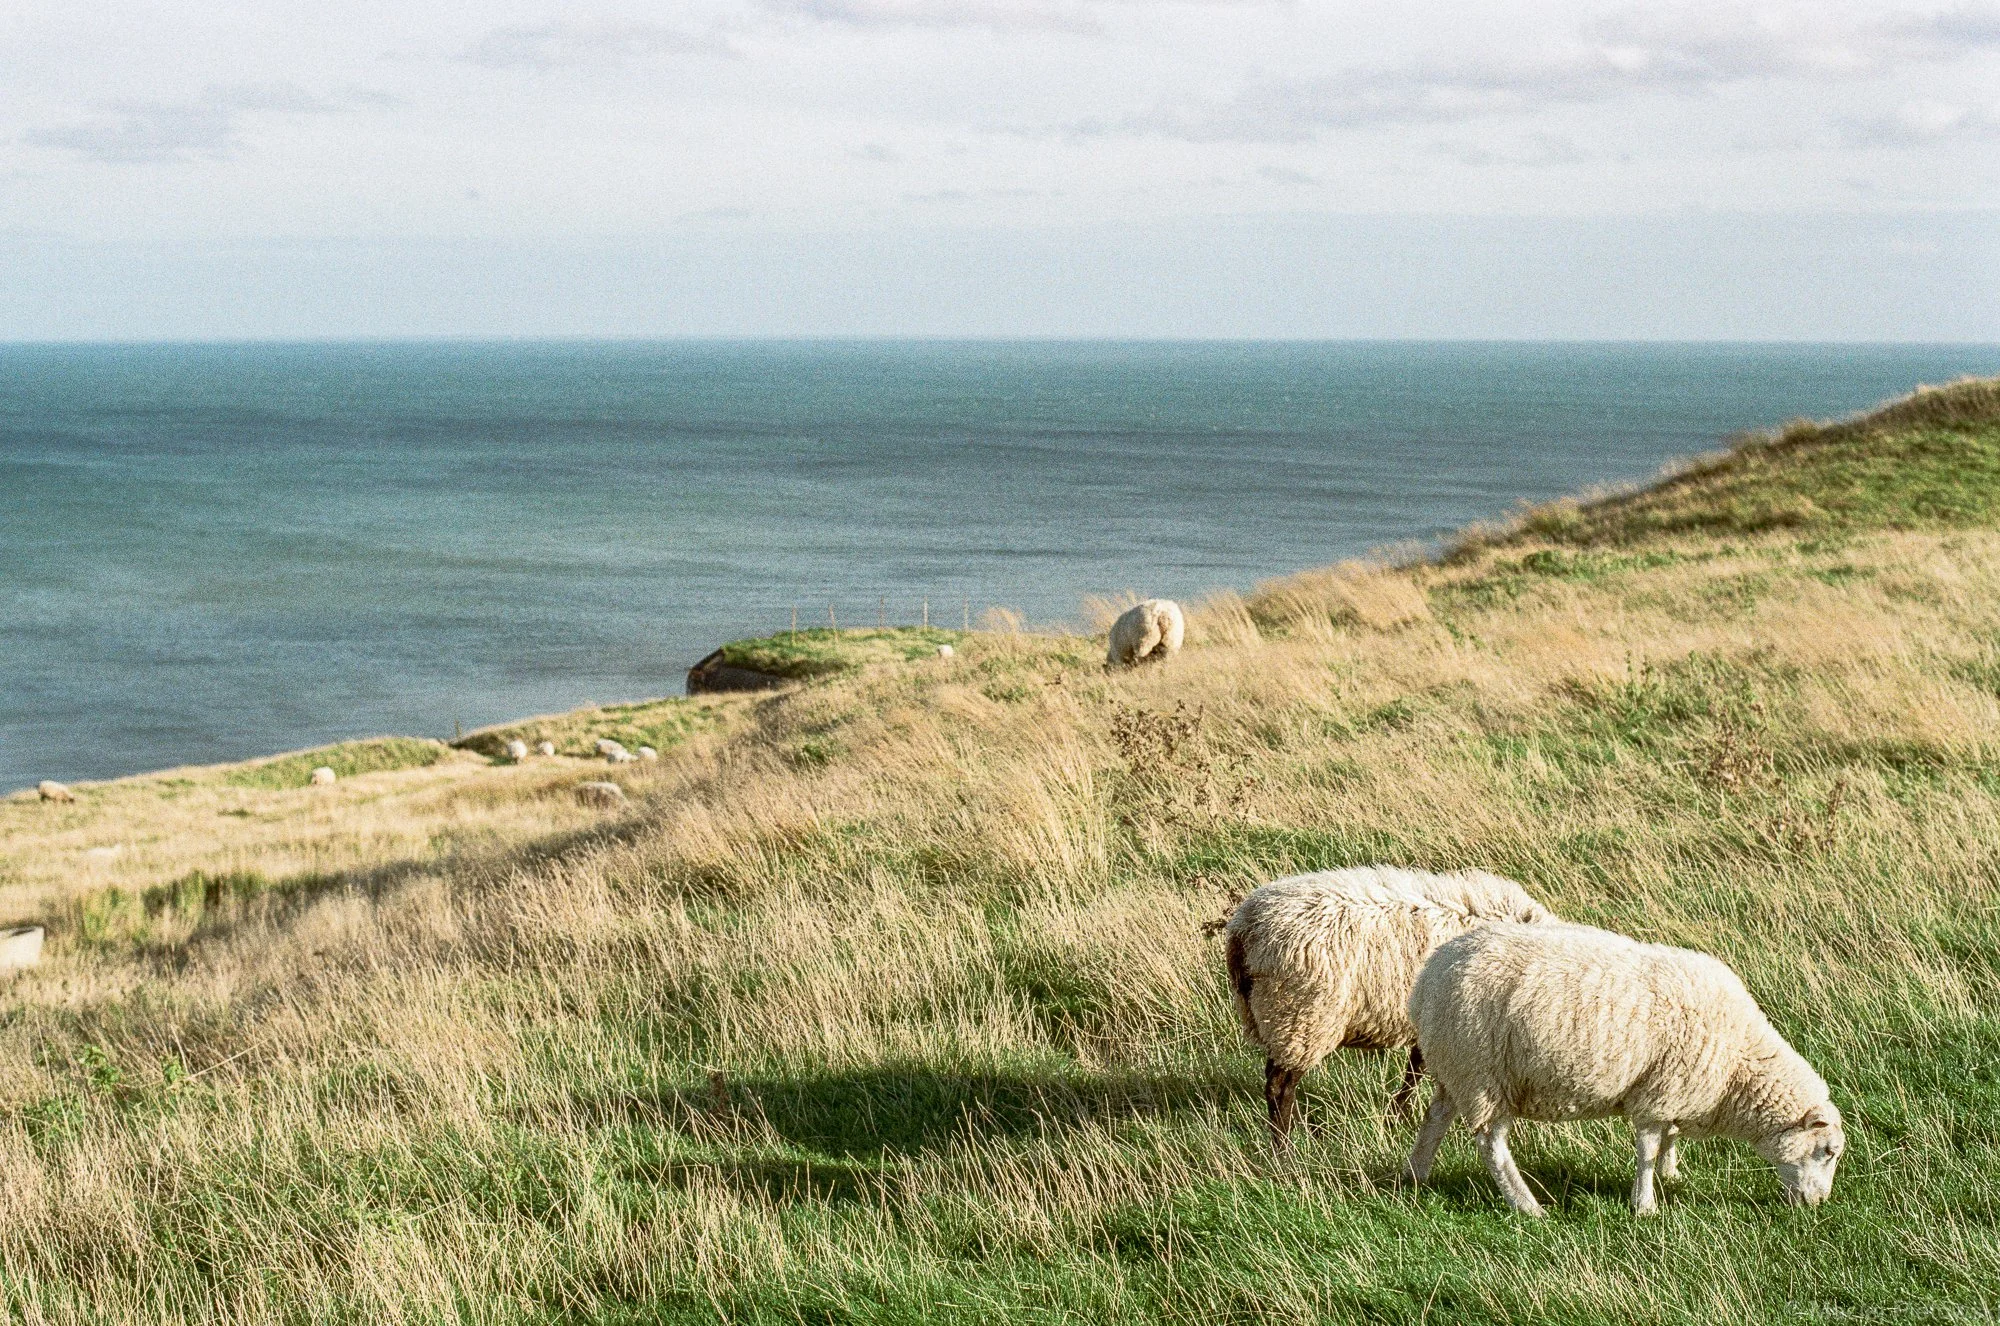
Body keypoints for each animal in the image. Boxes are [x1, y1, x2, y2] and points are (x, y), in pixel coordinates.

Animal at [1224, 866, 1556, 1151]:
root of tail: (1244, 929)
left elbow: (1416, 1068)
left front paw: (1398, 1116)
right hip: (1301, 1016)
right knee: (1279, 1086)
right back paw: (1284, 1150)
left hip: (1271, 1015)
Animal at [1406, 922, 1844, 1217]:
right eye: (1827, 1152)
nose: (1818, 1204)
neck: (1740, 1062)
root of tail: (1428, 977)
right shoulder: (1659, 1091)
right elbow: (1649, 1146)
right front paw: (1645, 1204)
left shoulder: (1672, 1090)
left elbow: (1670, 1136)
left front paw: (1671, 1174)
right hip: (1482, 1073)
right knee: (1491, 1145)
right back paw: (1527, 1206)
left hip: (1455, 1068)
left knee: (1436, 1117)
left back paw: (1415, 1175)